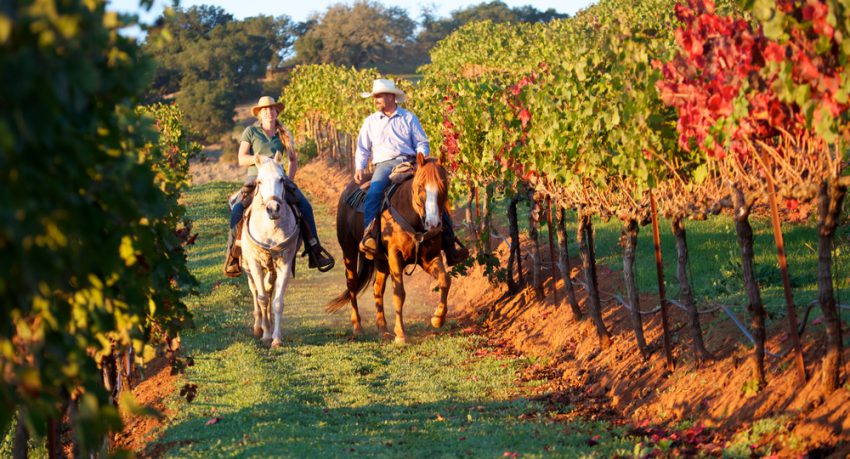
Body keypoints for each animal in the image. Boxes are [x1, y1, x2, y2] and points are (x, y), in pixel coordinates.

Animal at [240, 153, 300, 346]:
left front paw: (276, 338)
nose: (273, 208)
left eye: (281, 179)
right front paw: (266, 334)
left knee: (268, 288)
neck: (270, 227)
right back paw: (258, 326)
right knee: (255, 290)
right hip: (248, 267)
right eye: (259, 181)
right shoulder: (255, 264)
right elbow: (262, 298)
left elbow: (277, 301)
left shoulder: (285, 263)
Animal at [324, 153, 450, 344]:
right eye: (420, 186)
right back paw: (357, 327)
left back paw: (383, 329)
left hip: (380, 261)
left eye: (444, 184)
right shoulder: (394, 255)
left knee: (377, 288)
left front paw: (437, 319)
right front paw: (400, 334)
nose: (433, 224)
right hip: (349, 250)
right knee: (352, 284)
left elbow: (445, 280)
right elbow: (398, 293)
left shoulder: (430, 257)